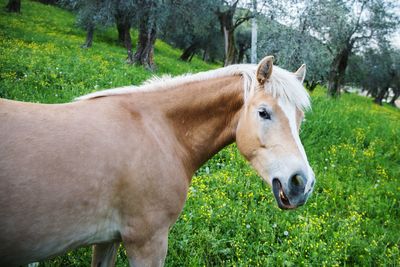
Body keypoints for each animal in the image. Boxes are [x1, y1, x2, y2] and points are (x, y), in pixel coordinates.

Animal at [0, 56, 316, 266]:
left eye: (300, 118)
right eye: (263, 112)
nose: (302, 183)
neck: (159, 130)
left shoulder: (108, 239)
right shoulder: (148, 242)